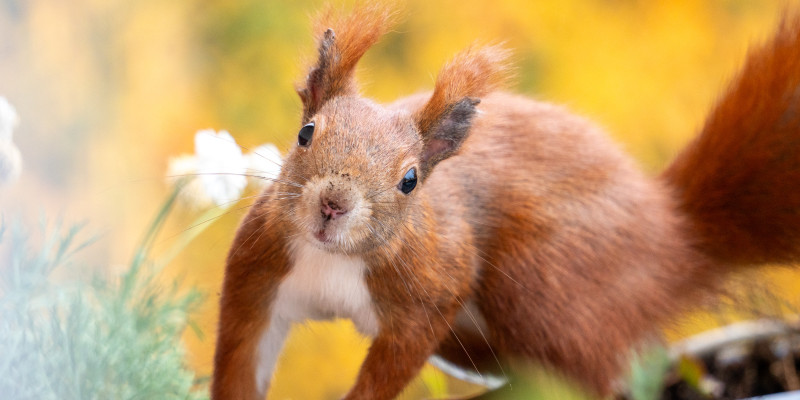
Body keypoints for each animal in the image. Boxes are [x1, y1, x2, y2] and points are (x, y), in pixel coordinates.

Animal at [214, 3, 800, 400]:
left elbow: (392, 366)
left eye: (410, 180)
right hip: (478, 340)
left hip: (543, 289)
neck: (332, 260)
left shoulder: (430, 294)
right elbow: (241, 358)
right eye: (306, 133)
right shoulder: (257, 274)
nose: (333, 205)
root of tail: (674, 237)